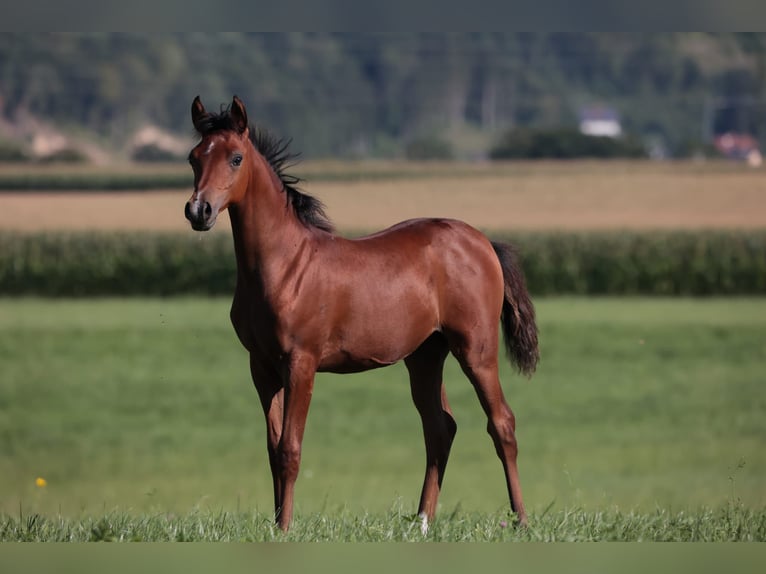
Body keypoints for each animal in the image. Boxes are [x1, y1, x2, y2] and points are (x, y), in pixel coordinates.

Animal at [184, 95, 539, 533]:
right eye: (194, 157)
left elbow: (290, 449)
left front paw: (285, 528)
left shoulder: (300, 363)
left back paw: (521, 518)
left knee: (502, 423)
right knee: (440, 427)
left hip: (477, 349)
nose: (199, 211)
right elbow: (271, 447)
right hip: (425, 356)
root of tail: (483, 242)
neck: (284, 264)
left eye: (235, 158)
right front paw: (276, 521)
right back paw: (422, 520)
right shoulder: (262, 366)